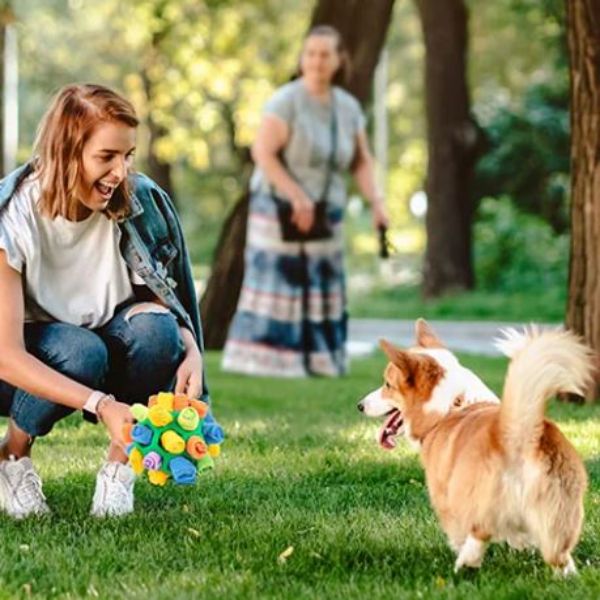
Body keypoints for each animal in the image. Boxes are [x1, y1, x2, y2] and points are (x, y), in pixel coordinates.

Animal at [358, 318, 592, 576]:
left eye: (387, 384)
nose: (360, 405)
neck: (451, 407)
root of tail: (518, 433)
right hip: (560, 511)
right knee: (558, 554)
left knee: (480, 532)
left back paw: (464, 565)